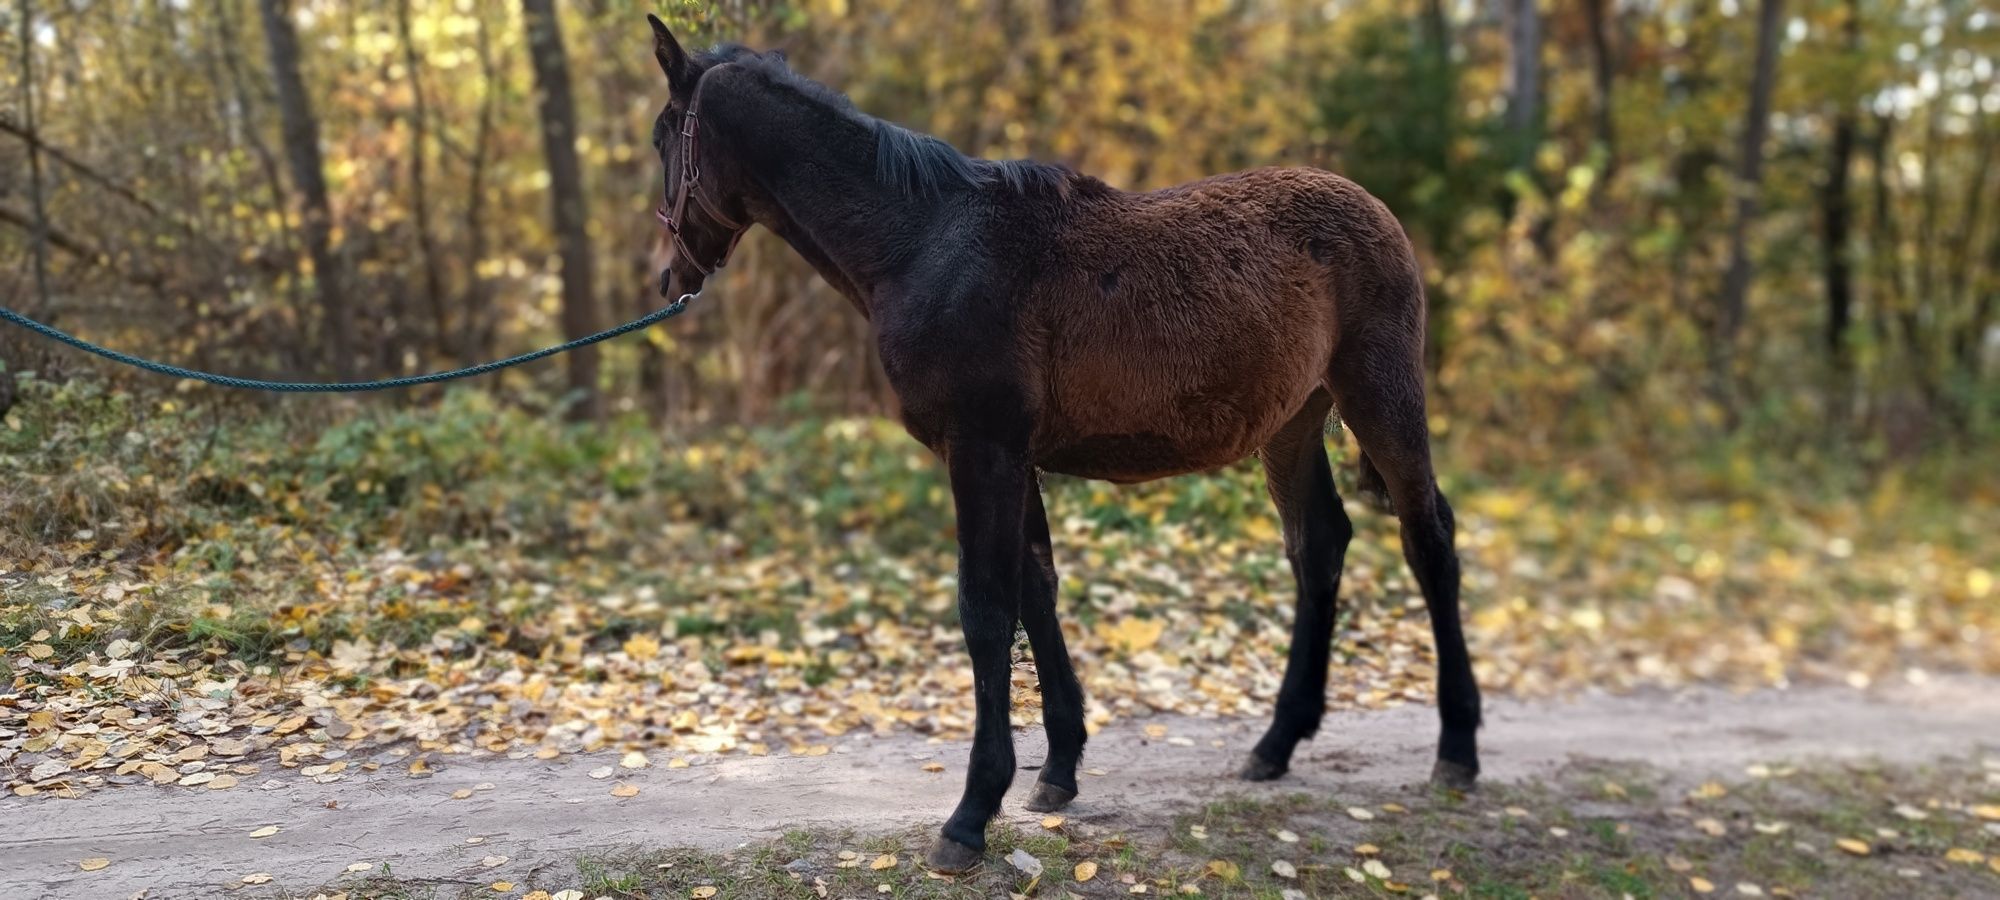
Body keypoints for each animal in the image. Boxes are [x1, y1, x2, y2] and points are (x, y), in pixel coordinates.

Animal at [648, 14, 1480, 872]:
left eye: (661, 139)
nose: (668, 274)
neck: (924, 245)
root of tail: (1375, 209)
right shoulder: (1012, 459)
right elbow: (1035, 592)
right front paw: (1057, 770)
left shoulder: (982, 451)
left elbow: (986, 610)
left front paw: (971, 814)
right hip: (1292, 425)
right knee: (1318, 545)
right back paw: (1276, 745)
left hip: (1381, 396)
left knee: (1429, 539)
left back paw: (1456, 749)